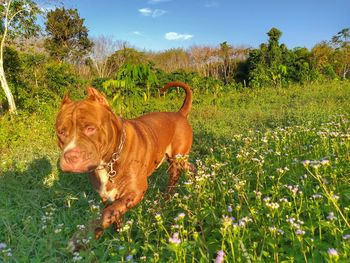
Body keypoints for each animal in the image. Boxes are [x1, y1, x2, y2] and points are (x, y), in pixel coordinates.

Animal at [55, 81, 193, 238]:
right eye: (61, 132)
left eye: (90, 128)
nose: (71, 156)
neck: (109, 161)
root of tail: (179, 113)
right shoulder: (106, 196)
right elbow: (113, 214)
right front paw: (119, 235)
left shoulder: (135, 191)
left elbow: (108, 213)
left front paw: (89, 233)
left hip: (176, 162)